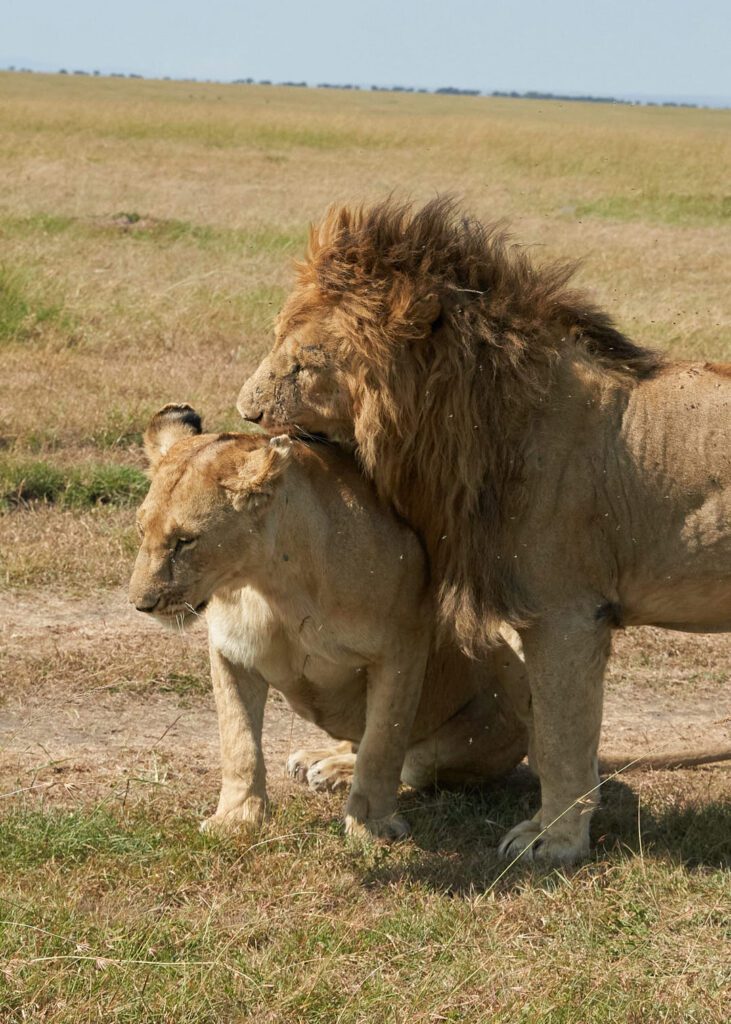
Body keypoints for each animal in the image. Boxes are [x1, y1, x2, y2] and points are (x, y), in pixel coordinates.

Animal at [129, 403, 530, 839]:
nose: (141, 604)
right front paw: (237, 819)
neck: (272, 583)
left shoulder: (402, 648)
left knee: (409, 760)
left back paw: (336, 771)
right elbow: (239, 741)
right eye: (140, 528)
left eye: (185, 541)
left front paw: (370, 826)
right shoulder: (230, 652)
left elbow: (383, 743)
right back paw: (317, 760)